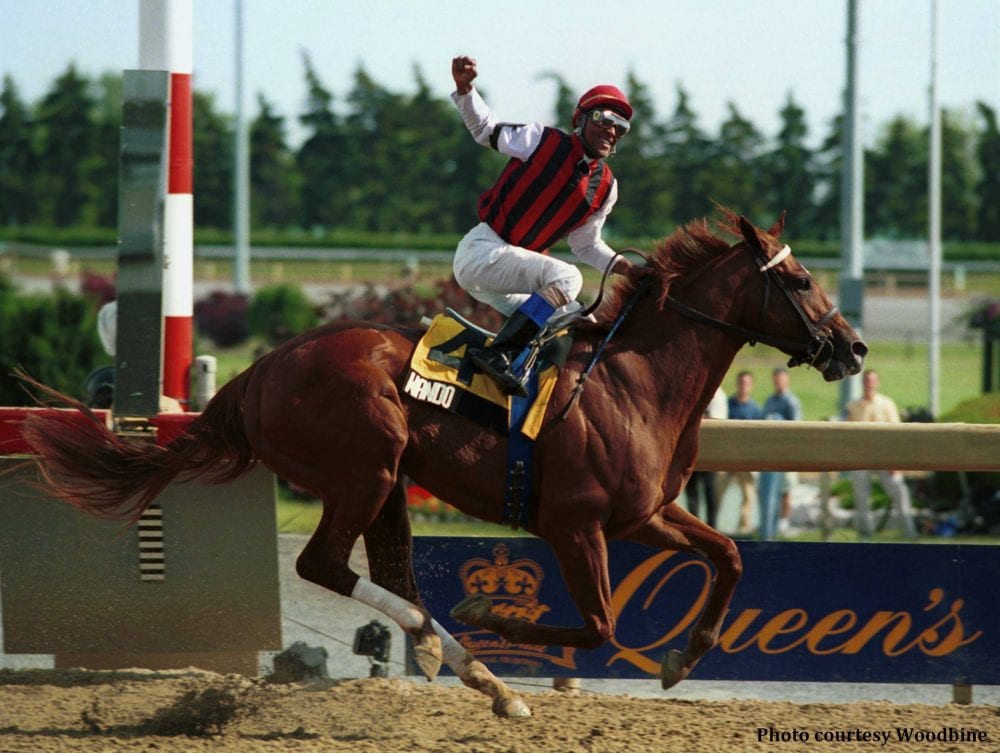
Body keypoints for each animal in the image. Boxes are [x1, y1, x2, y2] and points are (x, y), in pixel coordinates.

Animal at [23, 210, 868, 716]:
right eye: (799, 280)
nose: (854, 346)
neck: (633, 379)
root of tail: (258, 372)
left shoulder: (645, 514)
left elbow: (727, 555)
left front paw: (681, 657)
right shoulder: (574, 525)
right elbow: (598, 622)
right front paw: (488, 613)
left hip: (386, 478)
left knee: (386, 569)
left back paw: (471, 670)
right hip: (365, 465)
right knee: (325, 565)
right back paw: (454, 647)